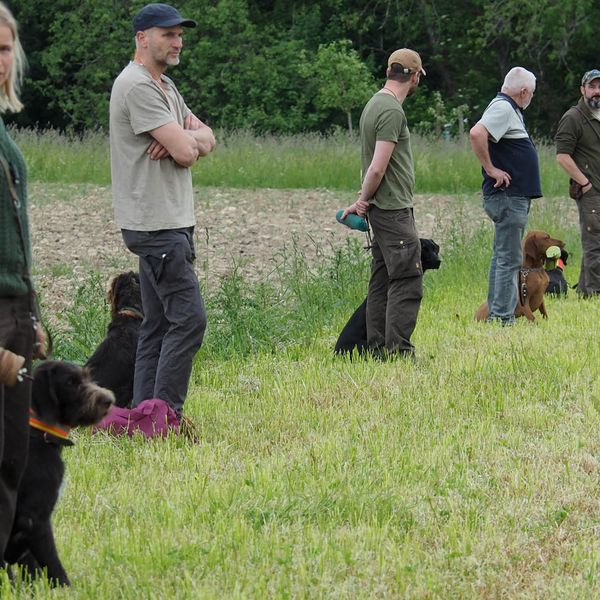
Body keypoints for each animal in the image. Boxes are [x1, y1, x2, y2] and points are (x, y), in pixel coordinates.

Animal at [4, 361, 114, 586]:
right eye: (70, 382)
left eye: (87, 377)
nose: (108, 400)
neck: (41, 436)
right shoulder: (34, 518)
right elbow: (52, 564)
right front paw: (66, 589)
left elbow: (32, 566)